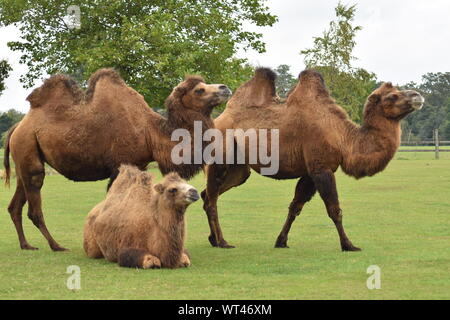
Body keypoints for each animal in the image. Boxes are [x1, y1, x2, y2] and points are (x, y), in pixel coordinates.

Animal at [1, 69, 230, 251]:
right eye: (199, 90)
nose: (225, 88)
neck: (150, 132)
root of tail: (17, 127)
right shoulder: (120, 165)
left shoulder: (139, 165)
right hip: (28, 147)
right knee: (34, 203)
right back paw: (56, 246)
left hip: (24, 158)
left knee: (15, 204)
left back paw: (26, 245)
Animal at [202, 68, 424, 250]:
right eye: (392, 96)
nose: (417, 95)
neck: (342, 137)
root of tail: (216, 121)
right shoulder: (321, 168)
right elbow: (334, 209)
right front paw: (348, 245)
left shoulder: (310, 172)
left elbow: (295, 206)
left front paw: (281, 241)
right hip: (220, 157)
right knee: (212, 199)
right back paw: (222, 242)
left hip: (239, 169)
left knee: (208, 195)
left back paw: (213, 239)